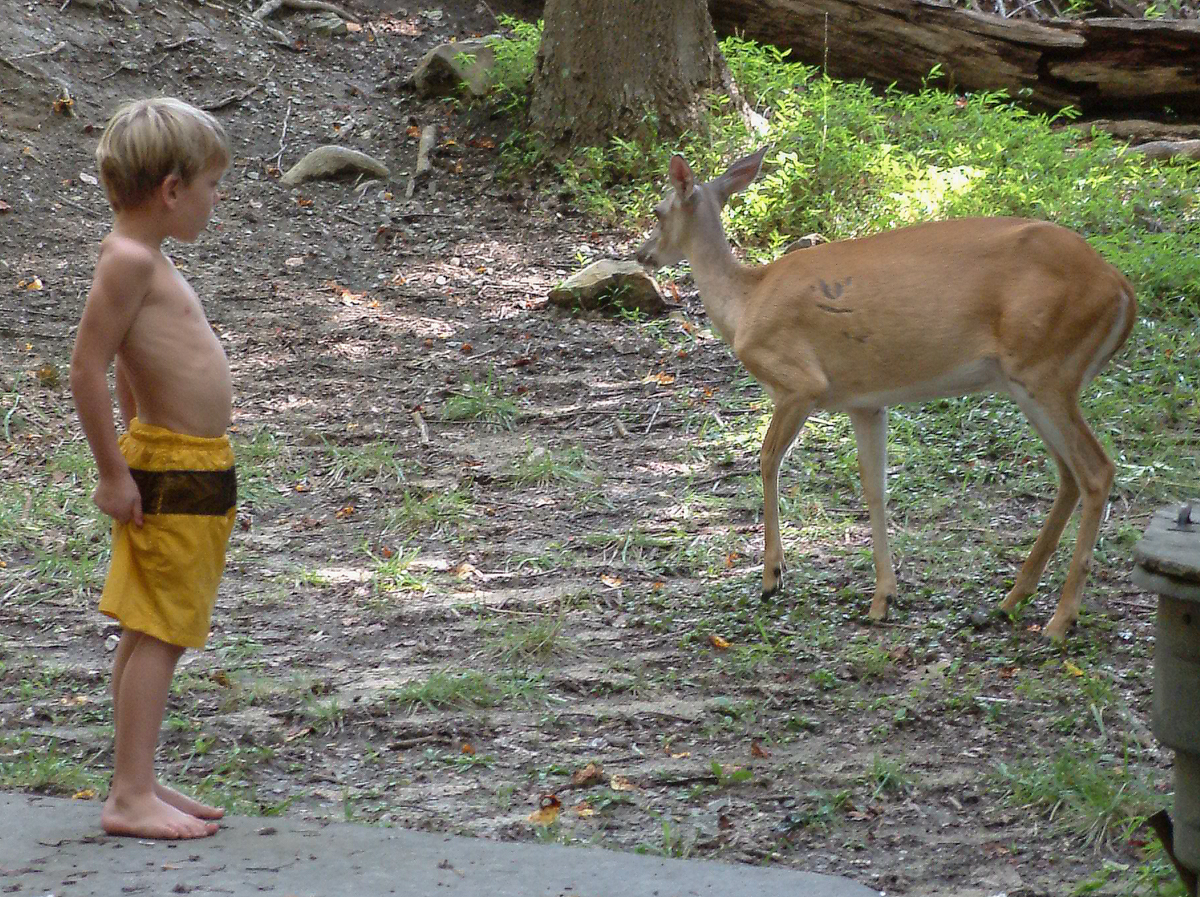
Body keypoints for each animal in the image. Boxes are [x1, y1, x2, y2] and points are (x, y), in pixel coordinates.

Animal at [635, 148, 1137, 640]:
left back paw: (1060, 619)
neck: (745, 303)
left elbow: (767, 461)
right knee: (1069, 474)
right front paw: (883, 599)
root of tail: (1123, 290)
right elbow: (874, 486)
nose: (643, 255)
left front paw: (772, 577)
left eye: (658, 211)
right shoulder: (865, 402)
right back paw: (1011, 599)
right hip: (1032, 382)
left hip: (1047, 369)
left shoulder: (799, 382)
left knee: (1097, 470)